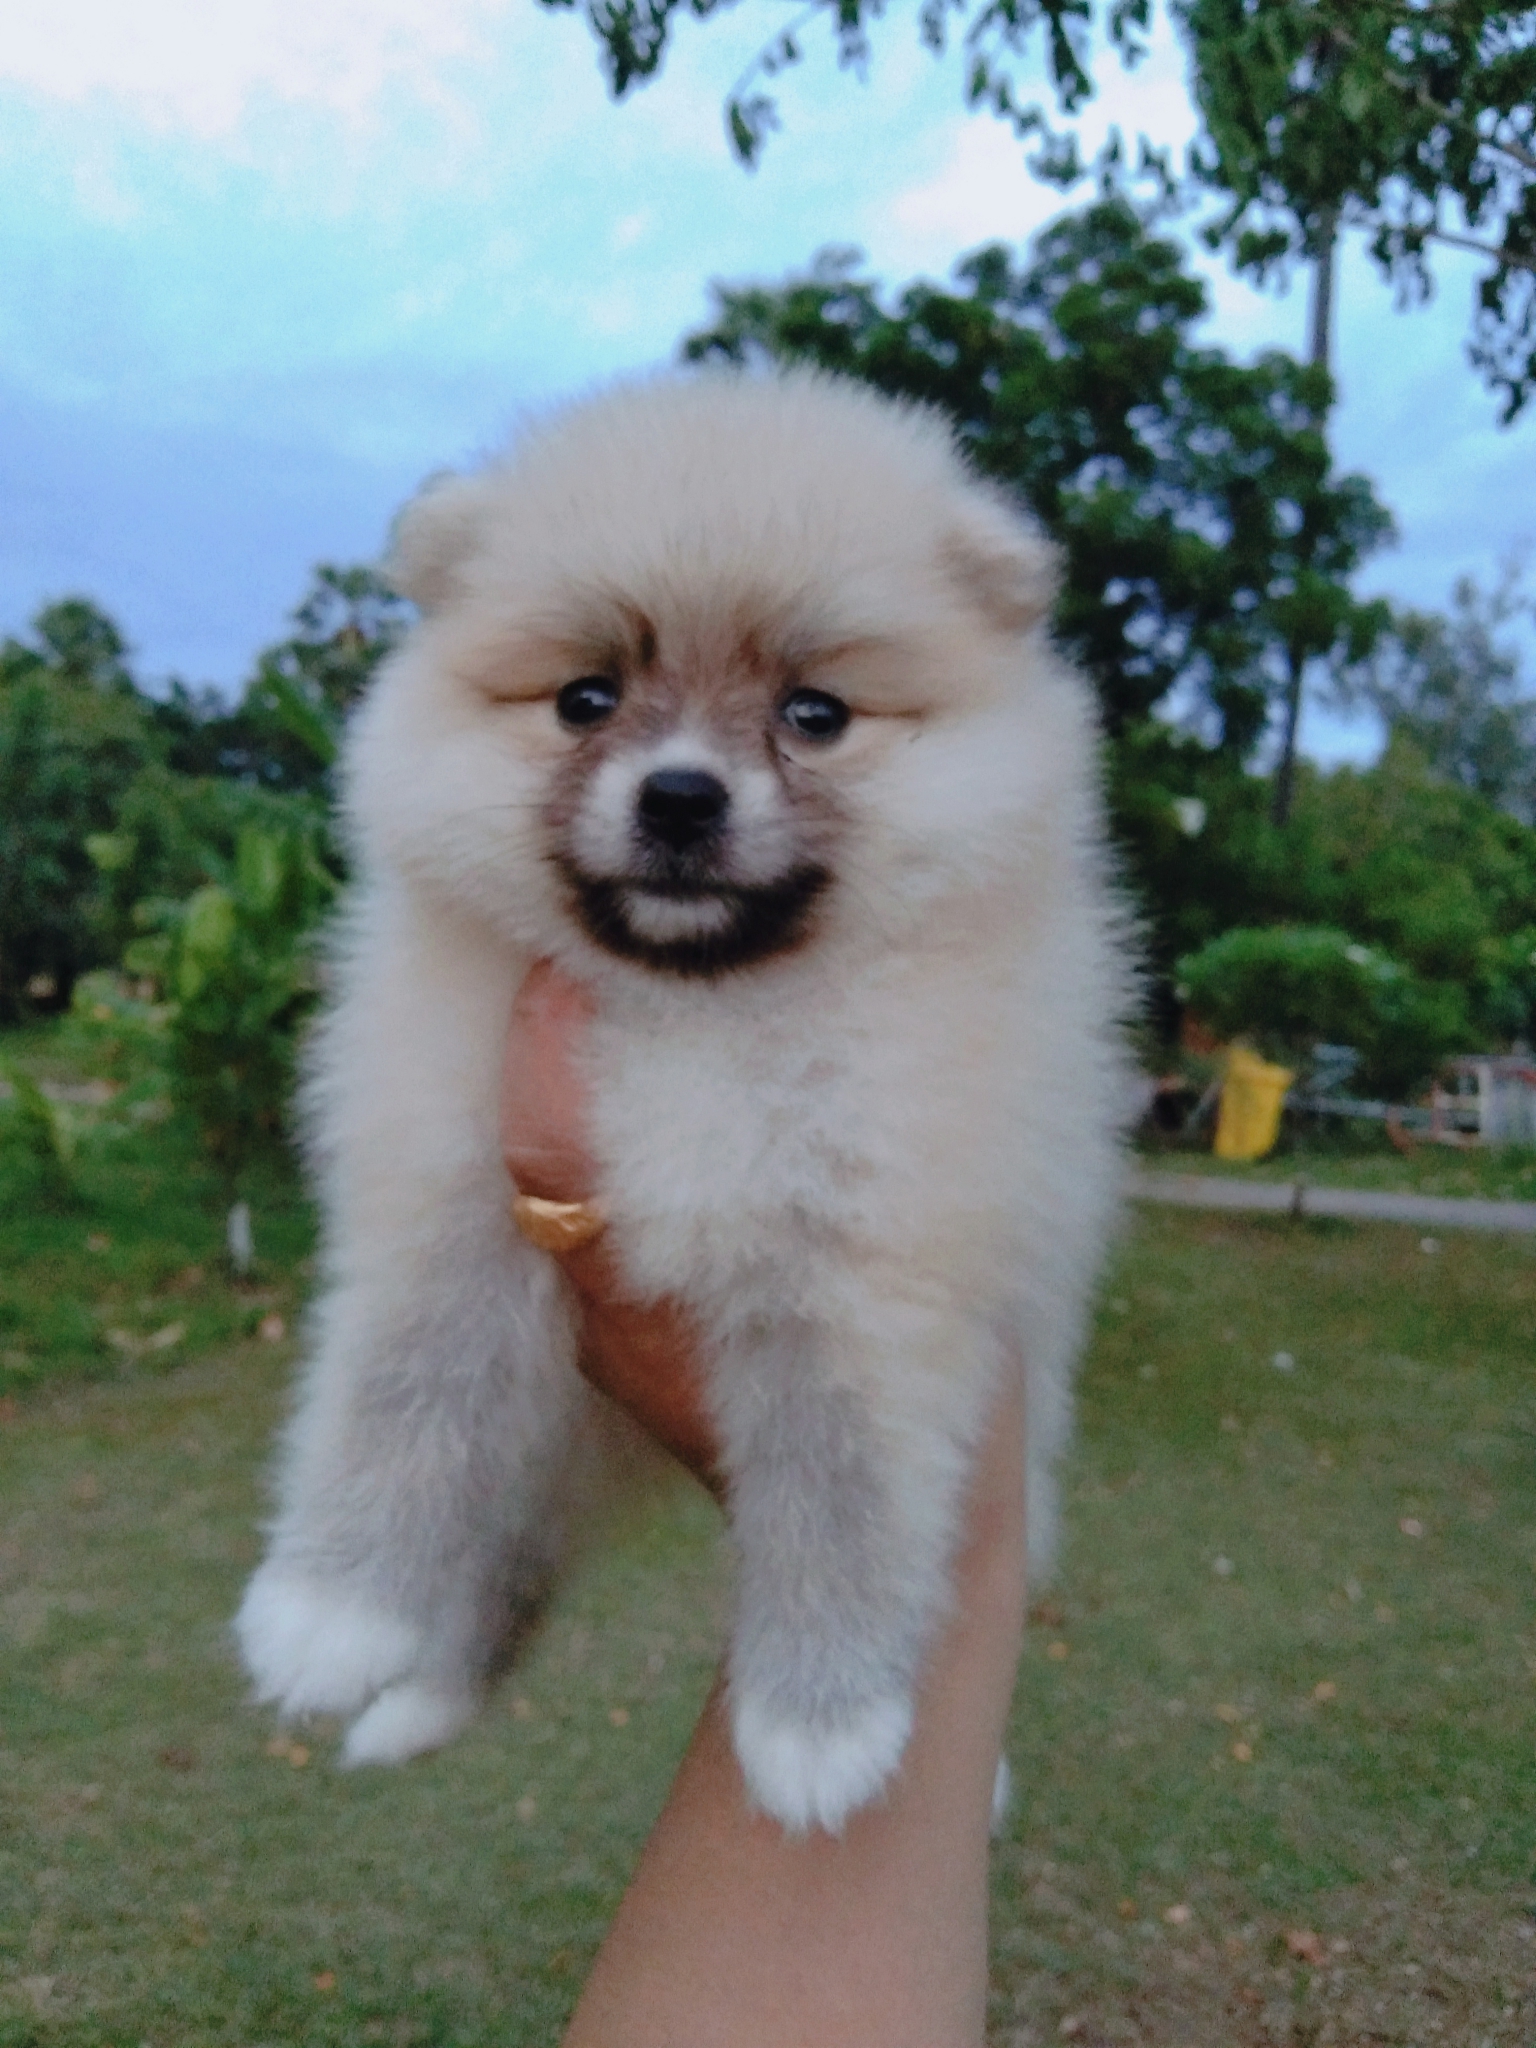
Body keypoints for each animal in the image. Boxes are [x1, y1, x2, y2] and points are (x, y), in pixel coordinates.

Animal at [235, 370, 1129, 1833]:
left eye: (814, 713)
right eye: (586, 698)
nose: (680, 798)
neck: (690, 1007)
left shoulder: (861, 1261)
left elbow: (840, 1477)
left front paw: (821, 1720)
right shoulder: (453, 1187)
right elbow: (408, 1386)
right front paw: (329, 1610)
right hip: (540, 1434)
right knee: (503, 1563)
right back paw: (420, 1697)